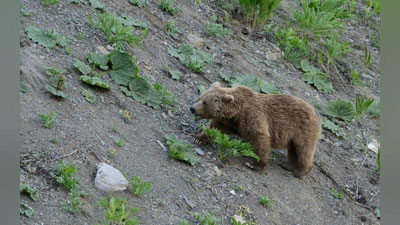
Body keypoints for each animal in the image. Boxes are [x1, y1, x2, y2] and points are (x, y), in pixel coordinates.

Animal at [191, 81, 322, 177]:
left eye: (205, 102)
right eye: (200, 97)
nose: (192, 108)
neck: (236, 112)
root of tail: (316, 113)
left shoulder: (252, 116)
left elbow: (260, 138)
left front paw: (255, 164)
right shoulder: (229, 122)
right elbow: (214, 128)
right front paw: (198, 138)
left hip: (303, 129)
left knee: (303, 149)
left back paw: (301, 171)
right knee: (294, 149)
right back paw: (288, 165)